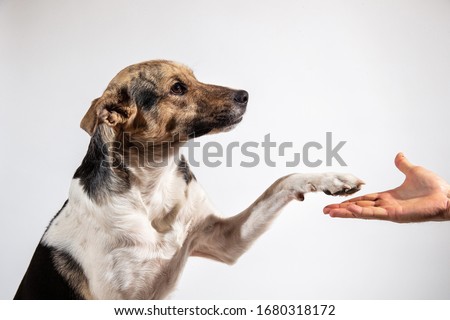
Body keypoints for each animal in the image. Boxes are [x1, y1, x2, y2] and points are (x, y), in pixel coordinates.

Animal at [14, 60, 364, 300]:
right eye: (178, 88)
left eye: (194, 78)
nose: (245, 95)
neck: (152, 183)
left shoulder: (226, 239)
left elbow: (281, 181)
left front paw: (330, 178)